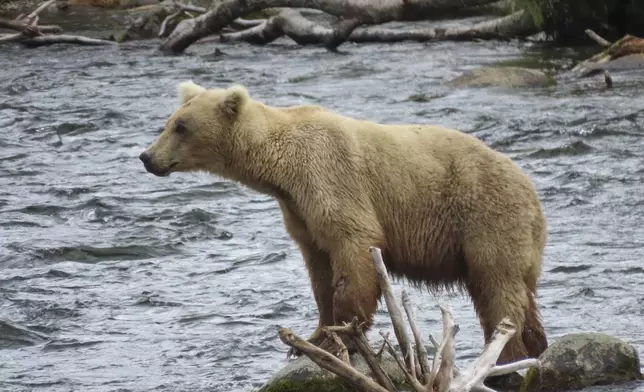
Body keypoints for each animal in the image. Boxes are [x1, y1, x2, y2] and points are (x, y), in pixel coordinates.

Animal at [140, 79, 548, 364]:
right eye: (169, 122)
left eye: (181, 127)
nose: (147, 157)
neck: (281, 170)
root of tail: (531, 190)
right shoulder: (299, 213)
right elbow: (319, 270)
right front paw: (311, 338)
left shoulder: (330, 178)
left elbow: (353, 249)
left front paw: (342, 334)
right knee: (521, 293)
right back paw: (535, 345)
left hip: (486, 218)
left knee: (497, 288)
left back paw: (507, 353)